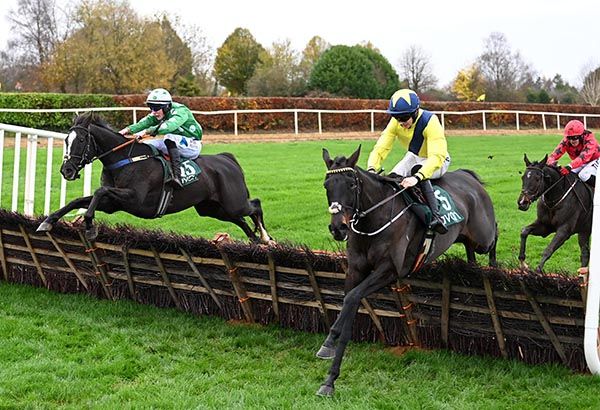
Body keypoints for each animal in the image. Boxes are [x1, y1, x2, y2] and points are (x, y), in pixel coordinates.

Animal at [314, 146, 496, 396]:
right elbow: (347, 301)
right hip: (466, 237)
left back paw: (496, 265)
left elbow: (352, 299)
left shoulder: (390, 270)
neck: (375, 219)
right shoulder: (355, 270)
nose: (338, 228)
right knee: (471, 251)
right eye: (327, 185)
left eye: (351, 185)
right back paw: (472, 266)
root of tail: (469, 177)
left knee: (494, 235)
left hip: (483, 236)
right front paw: (329, 345)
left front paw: (330, 379)